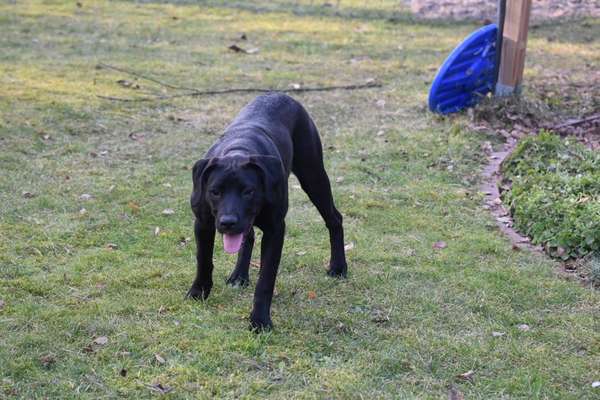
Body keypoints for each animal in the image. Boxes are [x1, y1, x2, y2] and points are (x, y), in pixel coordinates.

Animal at [188, 94, 346, 332]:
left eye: (248, 191)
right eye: (215, 192)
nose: (227, 222)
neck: (238, 150)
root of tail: (281, 94)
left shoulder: (275, 229)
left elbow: (266, 279)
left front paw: (260, 320)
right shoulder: (204, 223)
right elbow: (203, 260)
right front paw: (199, 291)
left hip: (313, 175)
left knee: (335, 219)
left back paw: (338, 267)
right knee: (248, 236)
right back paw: (239, 276)